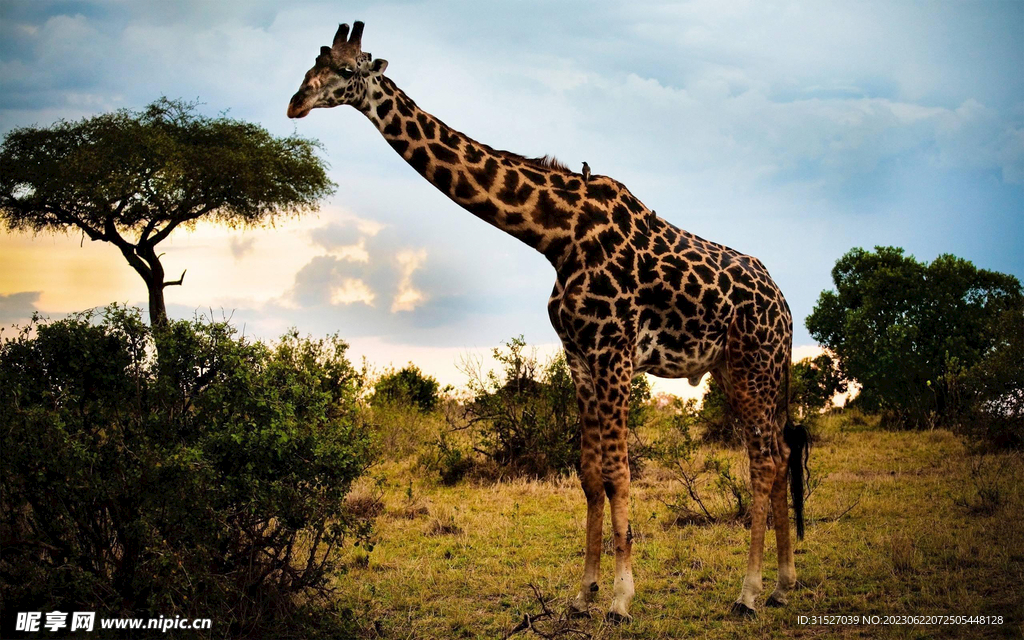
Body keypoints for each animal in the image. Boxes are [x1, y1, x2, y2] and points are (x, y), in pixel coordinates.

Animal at [288, 22, 806, 622]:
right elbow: (589, 474)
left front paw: (621, 599)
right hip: (734, 369)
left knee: (764, 459)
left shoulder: (614, 354)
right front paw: (582, 594)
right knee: (780, 452)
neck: (554, 235)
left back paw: (748, 592)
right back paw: (782, 584)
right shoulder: (580, 357)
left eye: (348, 70)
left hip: (753, 365)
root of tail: (785, 305)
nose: (295, 103)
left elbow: (620, 472)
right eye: (312, 63)